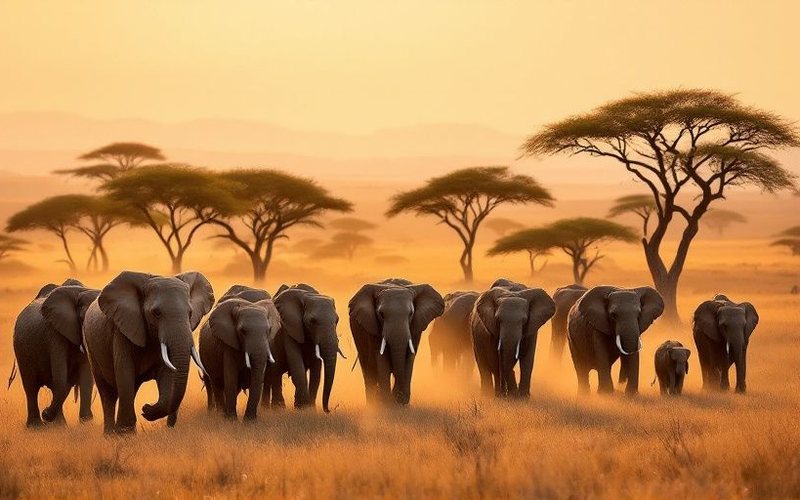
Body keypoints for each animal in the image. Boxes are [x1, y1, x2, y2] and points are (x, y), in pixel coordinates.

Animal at [12, 279, 99, 427]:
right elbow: (61, 377)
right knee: (31, 387)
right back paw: (37, 427)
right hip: (21, 352)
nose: (45, 413)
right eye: (82, 318)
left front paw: (86, 423)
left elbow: (86, 376)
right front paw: (47, 416)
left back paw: (57, 425)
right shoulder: (55, 333)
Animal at [83, 271, 214, 433]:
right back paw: (110, 434)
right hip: (91, 347)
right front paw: (125, 432)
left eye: (190, 313)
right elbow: (125, 372)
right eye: (156, 313)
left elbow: (168, 374)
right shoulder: (122, 330)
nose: (146, 406)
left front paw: (146, 413)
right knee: (108, 392)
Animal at [199, 285, 280, 421]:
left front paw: (249, 422)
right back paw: (222, 415)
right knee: (217, 383)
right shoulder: (228, 345)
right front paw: (232, 421)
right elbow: (231, 378)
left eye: (269, 330)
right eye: (242, 331)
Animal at [264, 284, 345, 412]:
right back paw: (274, 409)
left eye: (337, 320)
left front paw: (309, 409)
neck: (307, 295)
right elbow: (297, 364)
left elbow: (316, 370)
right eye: (312, 321)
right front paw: (304, 408)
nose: (329, 410)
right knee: (273, 373)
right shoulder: (289, 328)